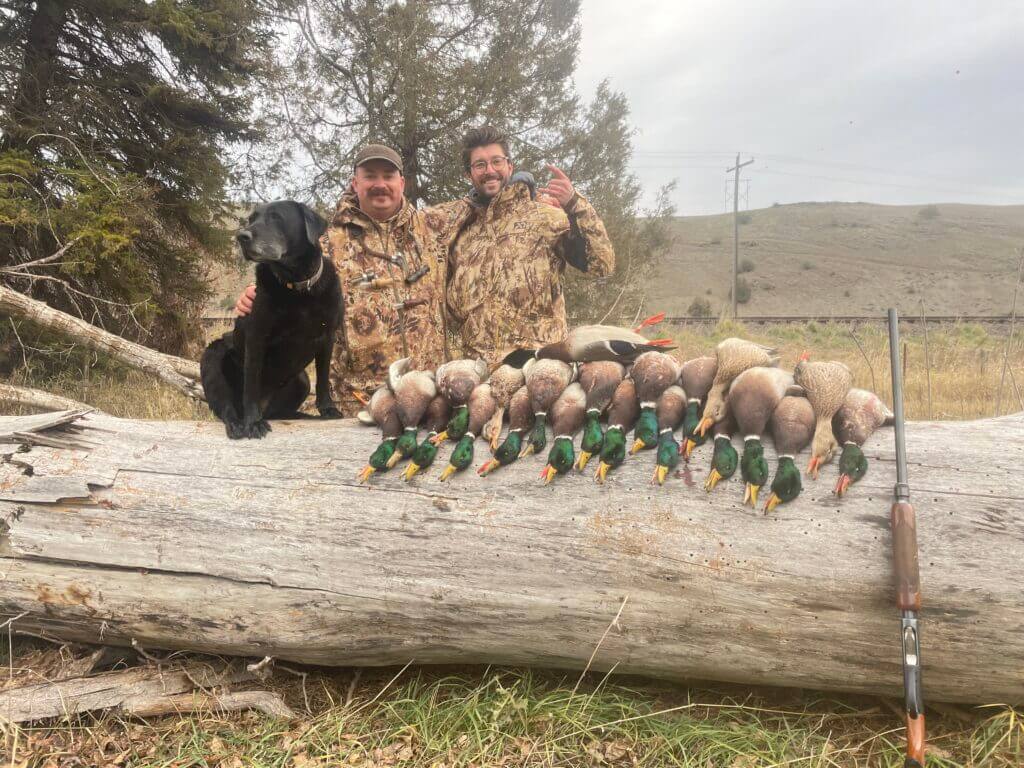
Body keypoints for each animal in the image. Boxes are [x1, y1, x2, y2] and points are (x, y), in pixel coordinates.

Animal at [199, 199, 344, 438]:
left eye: (276, 217)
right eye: (251, 219)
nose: (242, 236)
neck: (298, 288)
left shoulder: (328, 336)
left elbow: (323, 378)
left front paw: (328, 408)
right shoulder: (256, 337)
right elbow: (251, 386)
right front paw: (253, 423)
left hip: (301, 380)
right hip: (212, 360)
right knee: (226, 408)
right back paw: (238, 424)